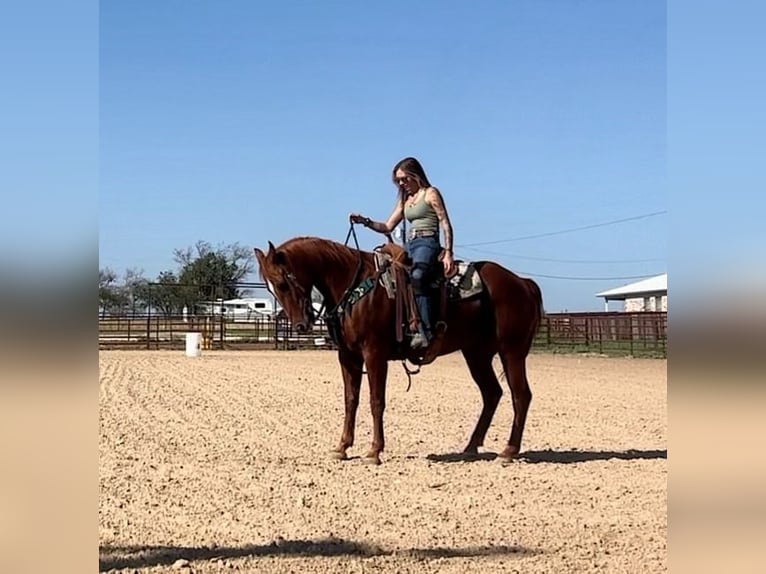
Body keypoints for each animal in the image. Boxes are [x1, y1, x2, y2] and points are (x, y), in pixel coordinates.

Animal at [255, 236, 544, 466]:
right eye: (271, 286)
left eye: (282, 283)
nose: (300, 324)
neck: (354, 286)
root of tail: (523, 283)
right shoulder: (347, 356)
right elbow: (351, 400)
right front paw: (342, 447)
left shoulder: (374, 354)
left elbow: (376, 401)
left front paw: (374, 451)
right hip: (477, 354)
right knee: (492, 394)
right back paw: (471, 446)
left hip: (511, 352)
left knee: (521, 395)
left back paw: (508, 450)